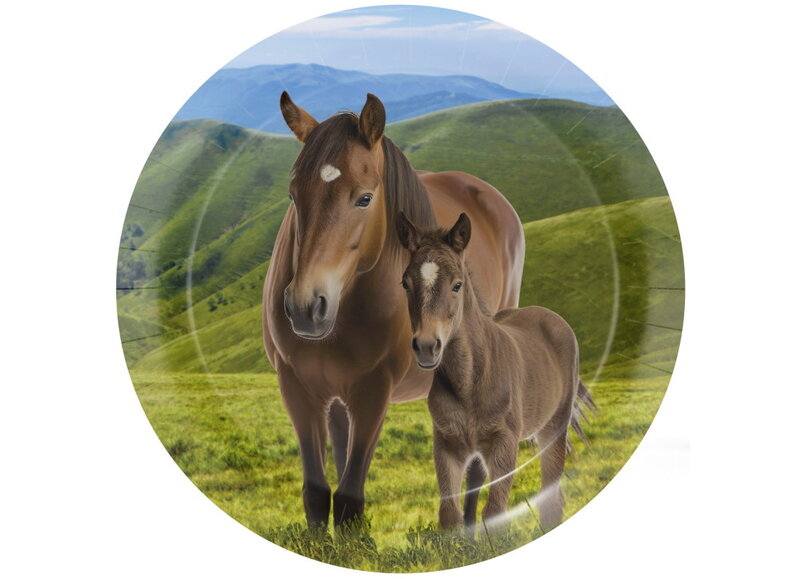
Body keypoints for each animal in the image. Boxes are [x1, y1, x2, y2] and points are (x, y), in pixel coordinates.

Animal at [262, 92, 525, 529]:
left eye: (365, 198)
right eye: (293, 195)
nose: (305, 307)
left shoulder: (374, 391)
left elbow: (348, 499)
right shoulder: (296, 386)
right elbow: (317, 495)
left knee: (476, 466)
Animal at [395, 211, 594, 532]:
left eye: (457, 285)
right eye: (405, 283)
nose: (426, 347)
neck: (469, 380)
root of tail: (551, 316)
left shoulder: (504, 443)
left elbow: (495, 512)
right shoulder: (447, 444)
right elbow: (449, 513)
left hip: (553, 427)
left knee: (551, 497)